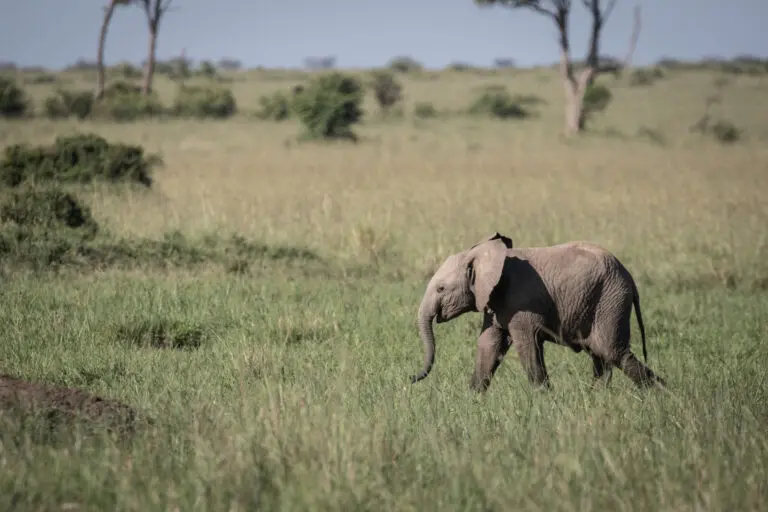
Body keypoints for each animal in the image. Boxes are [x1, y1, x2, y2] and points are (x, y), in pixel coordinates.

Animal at [411, 232, 665, 392]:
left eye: (441, 288)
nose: (411, 378)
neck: (487, 255)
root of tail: (630, 278)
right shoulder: (494, 301)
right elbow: (488, 344)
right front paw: (472, 399)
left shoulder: (522, 304)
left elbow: (527, 345)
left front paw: (545, 400)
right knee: (601, 357)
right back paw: (598, 398)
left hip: (609, 302)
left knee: (612, 351)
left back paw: (660, 395)